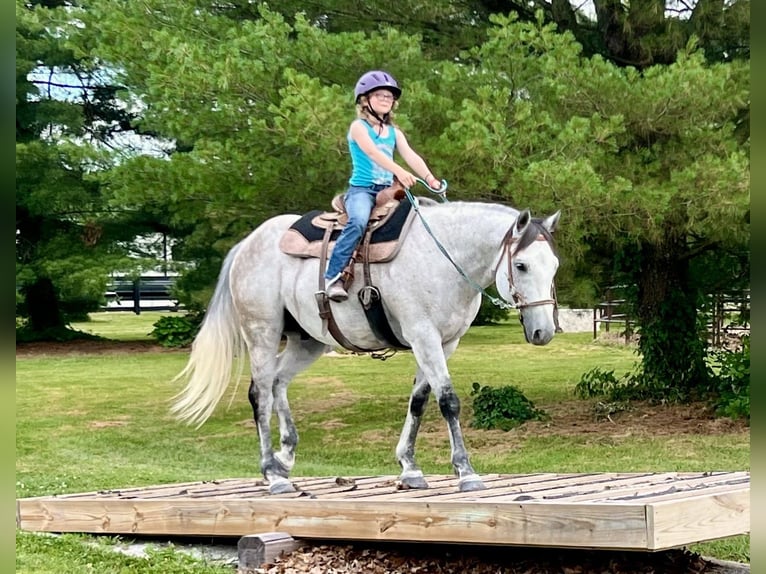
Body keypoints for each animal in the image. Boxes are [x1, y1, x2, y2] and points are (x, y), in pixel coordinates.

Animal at [171, 197, 561, 494]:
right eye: (521, 265)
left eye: (554, 266)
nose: (543, 331)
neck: (443, 258)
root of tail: (247, 243)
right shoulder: (424, 336)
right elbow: (448, 401)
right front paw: (466, 472)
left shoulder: (444, 343)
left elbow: (419, 401)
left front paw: (409, 467)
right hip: (262, 332)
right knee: (260, 393)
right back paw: (272, 473)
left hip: (307, 342)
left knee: (279, 383)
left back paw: (286, 458)